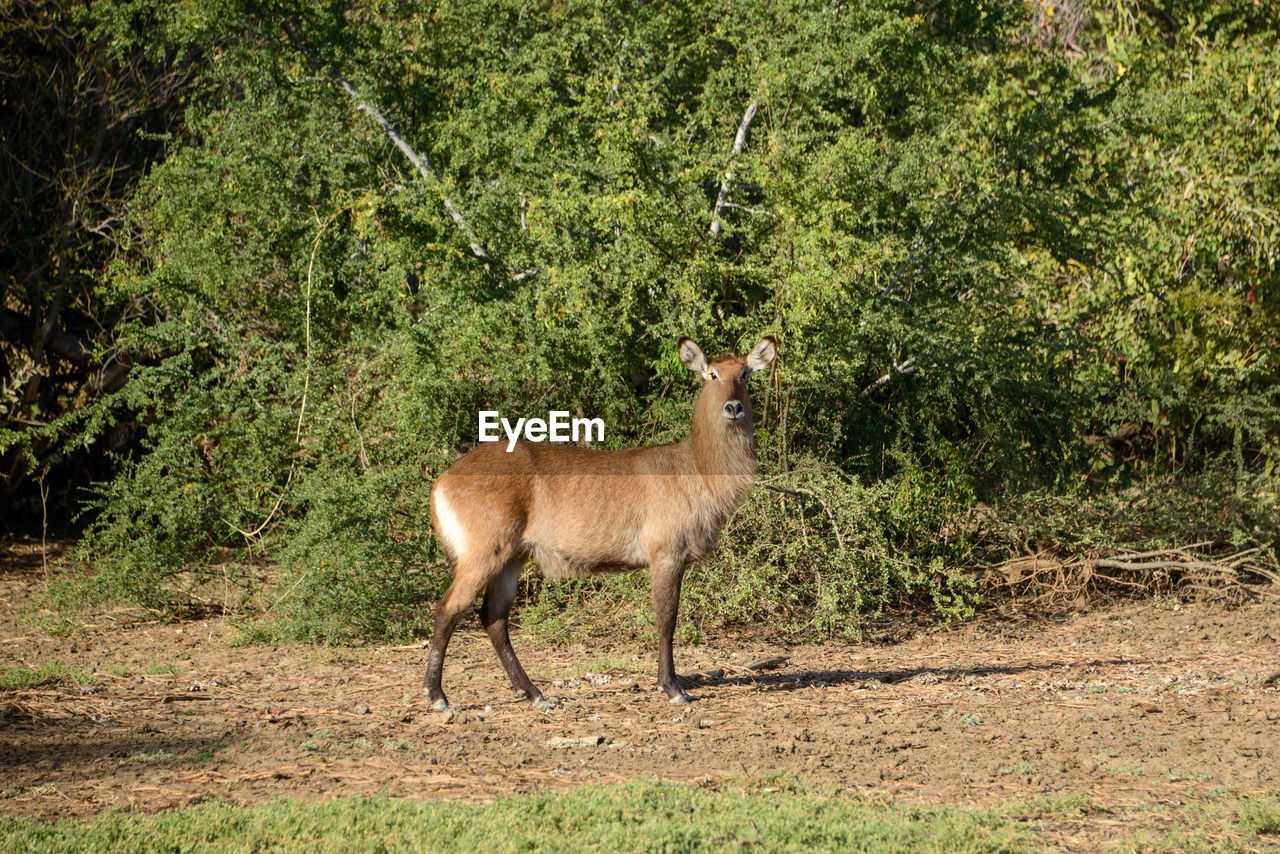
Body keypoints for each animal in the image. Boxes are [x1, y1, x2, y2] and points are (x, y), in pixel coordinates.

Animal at [424, 338, 773, 711]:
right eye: (712, 374)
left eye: (745, 373)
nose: (733, 407)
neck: (696, 468)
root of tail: (442, 480)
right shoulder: (666, 554)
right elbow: (667, 619)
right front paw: (673, 688)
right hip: (484, 554)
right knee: (447, 608)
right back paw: (438, 696)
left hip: (511, 558)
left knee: (493, 617)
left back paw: (534, 693)